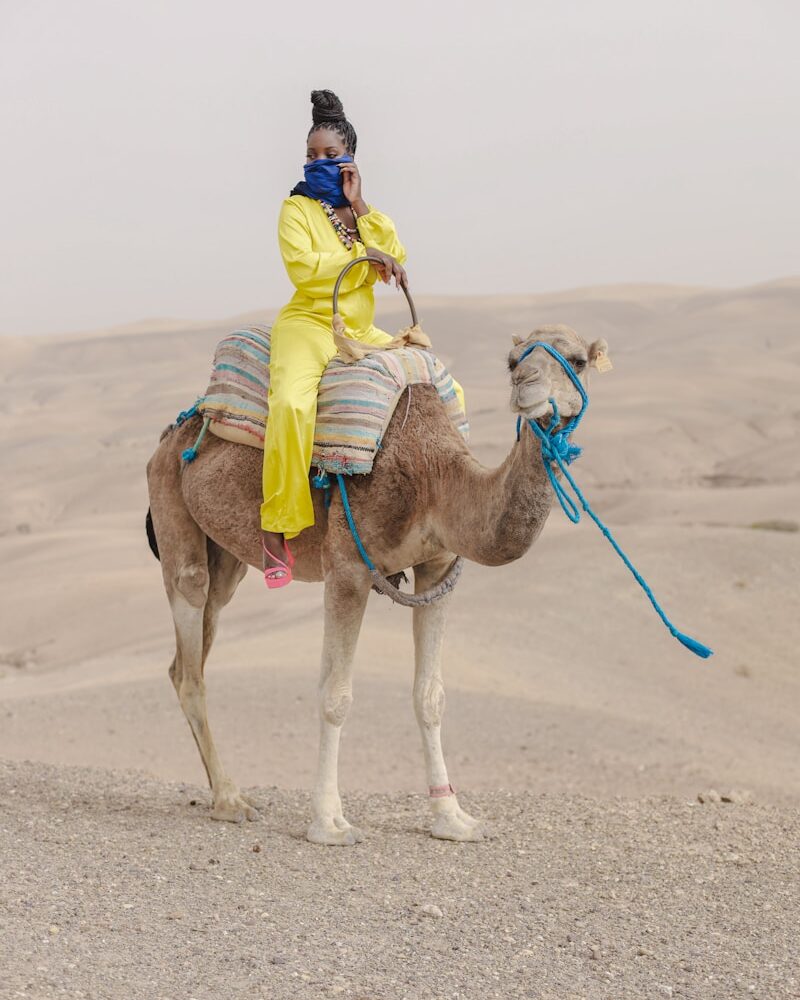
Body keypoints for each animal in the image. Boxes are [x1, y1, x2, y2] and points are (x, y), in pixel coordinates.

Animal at [145, 324, 608, 840]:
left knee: (193, 646)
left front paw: (452, 818)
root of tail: (174, 433)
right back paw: (228, 799)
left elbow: (430, 696)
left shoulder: (437, 566)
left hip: (226, 556)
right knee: (190, 648)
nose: (527, 385)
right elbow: (335, 695)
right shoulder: (347, 568)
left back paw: (222, 792)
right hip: (171, 506)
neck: (435, 480)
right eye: (512, 361)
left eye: (577, 360)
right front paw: (329, 822)